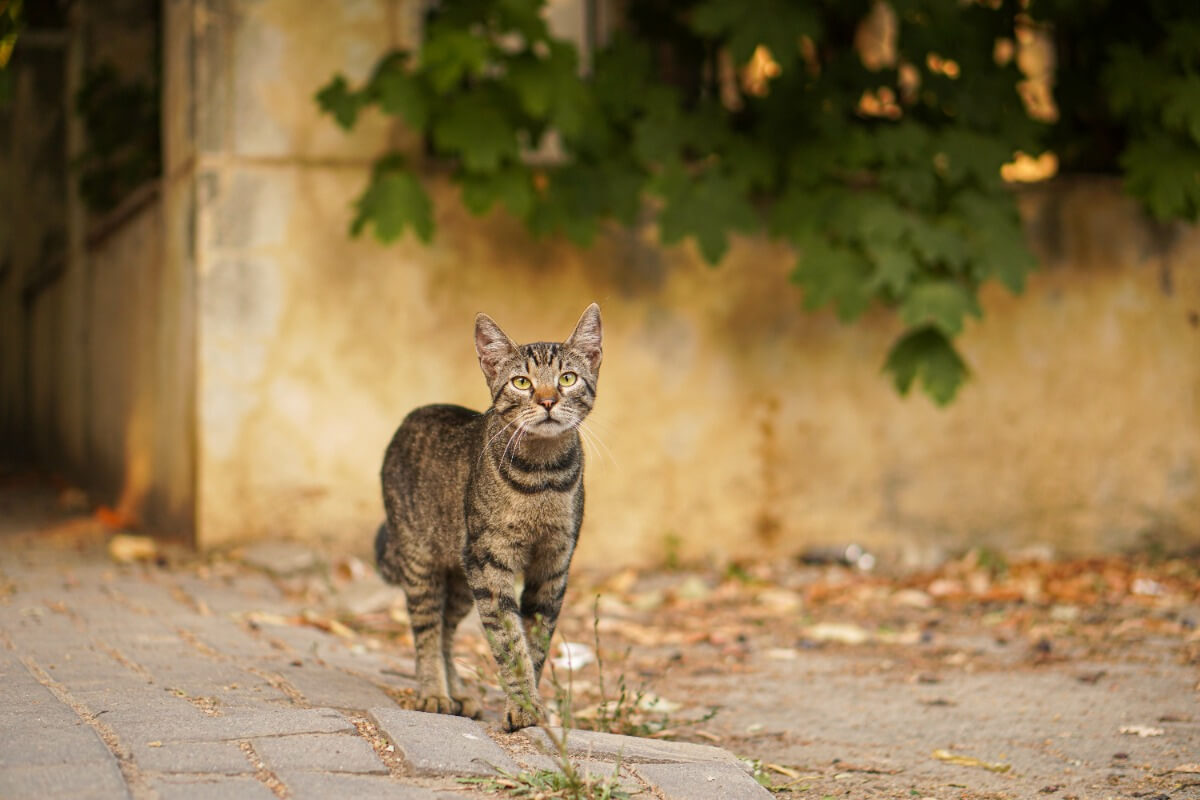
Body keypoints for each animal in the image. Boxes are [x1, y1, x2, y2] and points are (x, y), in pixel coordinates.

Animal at [372, 304, 600, 734]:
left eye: (567, 378)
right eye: (522, 382)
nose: (547, 401)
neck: (542, 477)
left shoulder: (553, 565)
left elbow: (535, 642)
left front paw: (530, 706)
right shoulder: (490, 564)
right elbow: (510, 642)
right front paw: (523, 707)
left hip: (461, 575)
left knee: (446, 631)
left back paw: (458, 692)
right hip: (424, 561)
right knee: (427, 631)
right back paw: (434, 693)